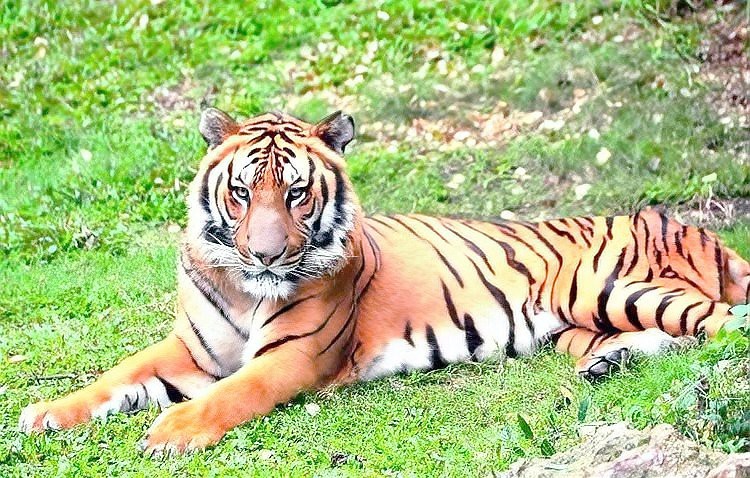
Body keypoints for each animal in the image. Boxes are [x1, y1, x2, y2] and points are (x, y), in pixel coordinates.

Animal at [19, 108, 750, 455]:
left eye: (295, 194)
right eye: (241, 192)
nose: (263, 257)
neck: (242, 287)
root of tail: (681, 223)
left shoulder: (290, 357)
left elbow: (232, 394)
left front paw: (171, 430)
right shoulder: (192, 349)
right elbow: (118, 375)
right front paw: (46, 413)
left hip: (608, 288)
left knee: (720, 322)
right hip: (576, 326)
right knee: (675, 336)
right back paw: (608, 363)